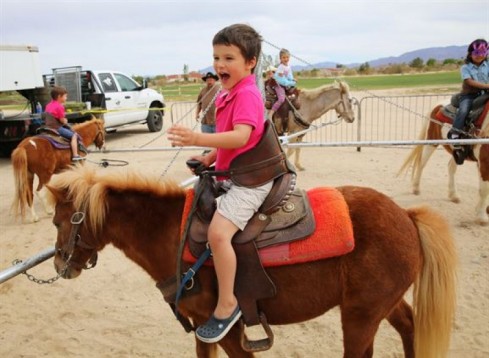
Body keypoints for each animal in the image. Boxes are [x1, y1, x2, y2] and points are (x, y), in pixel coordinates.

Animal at [47, 166, 456, 358]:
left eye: (57, 221)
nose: (60, 266)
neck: (171, 233)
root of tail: (406, 216)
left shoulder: (228, 333)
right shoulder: (202, 329)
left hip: (360, 315)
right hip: (379, 305)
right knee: (409, 325)